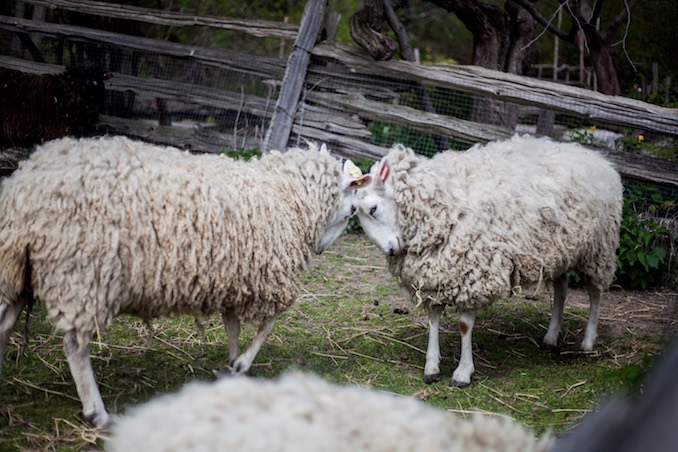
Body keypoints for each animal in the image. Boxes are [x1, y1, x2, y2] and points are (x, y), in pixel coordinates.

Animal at [0, 135, 370, 428]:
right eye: (353, 210)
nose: (321, 250)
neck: (287, 196)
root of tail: (25, 189)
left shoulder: (236, 278)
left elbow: (233, 326)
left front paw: (231, 368)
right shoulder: (264, 279)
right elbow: (267, 325)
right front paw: (241, 363)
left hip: (19, 270)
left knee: (4, 323)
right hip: (83, 275)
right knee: (75, 347)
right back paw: (98, 413)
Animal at [358, 133, 624, 384]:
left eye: (373, 208)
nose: (391, 250)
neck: (440, 203)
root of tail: (596, 157)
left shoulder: (471, 275)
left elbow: (464, 326)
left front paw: (463, 373)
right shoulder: (434, 275)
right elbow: (433, 320)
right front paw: (431, 367)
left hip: (597, 250)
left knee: (595, 294)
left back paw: (587, 342)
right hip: (559, 250)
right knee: (562, 289)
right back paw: (550, 337)